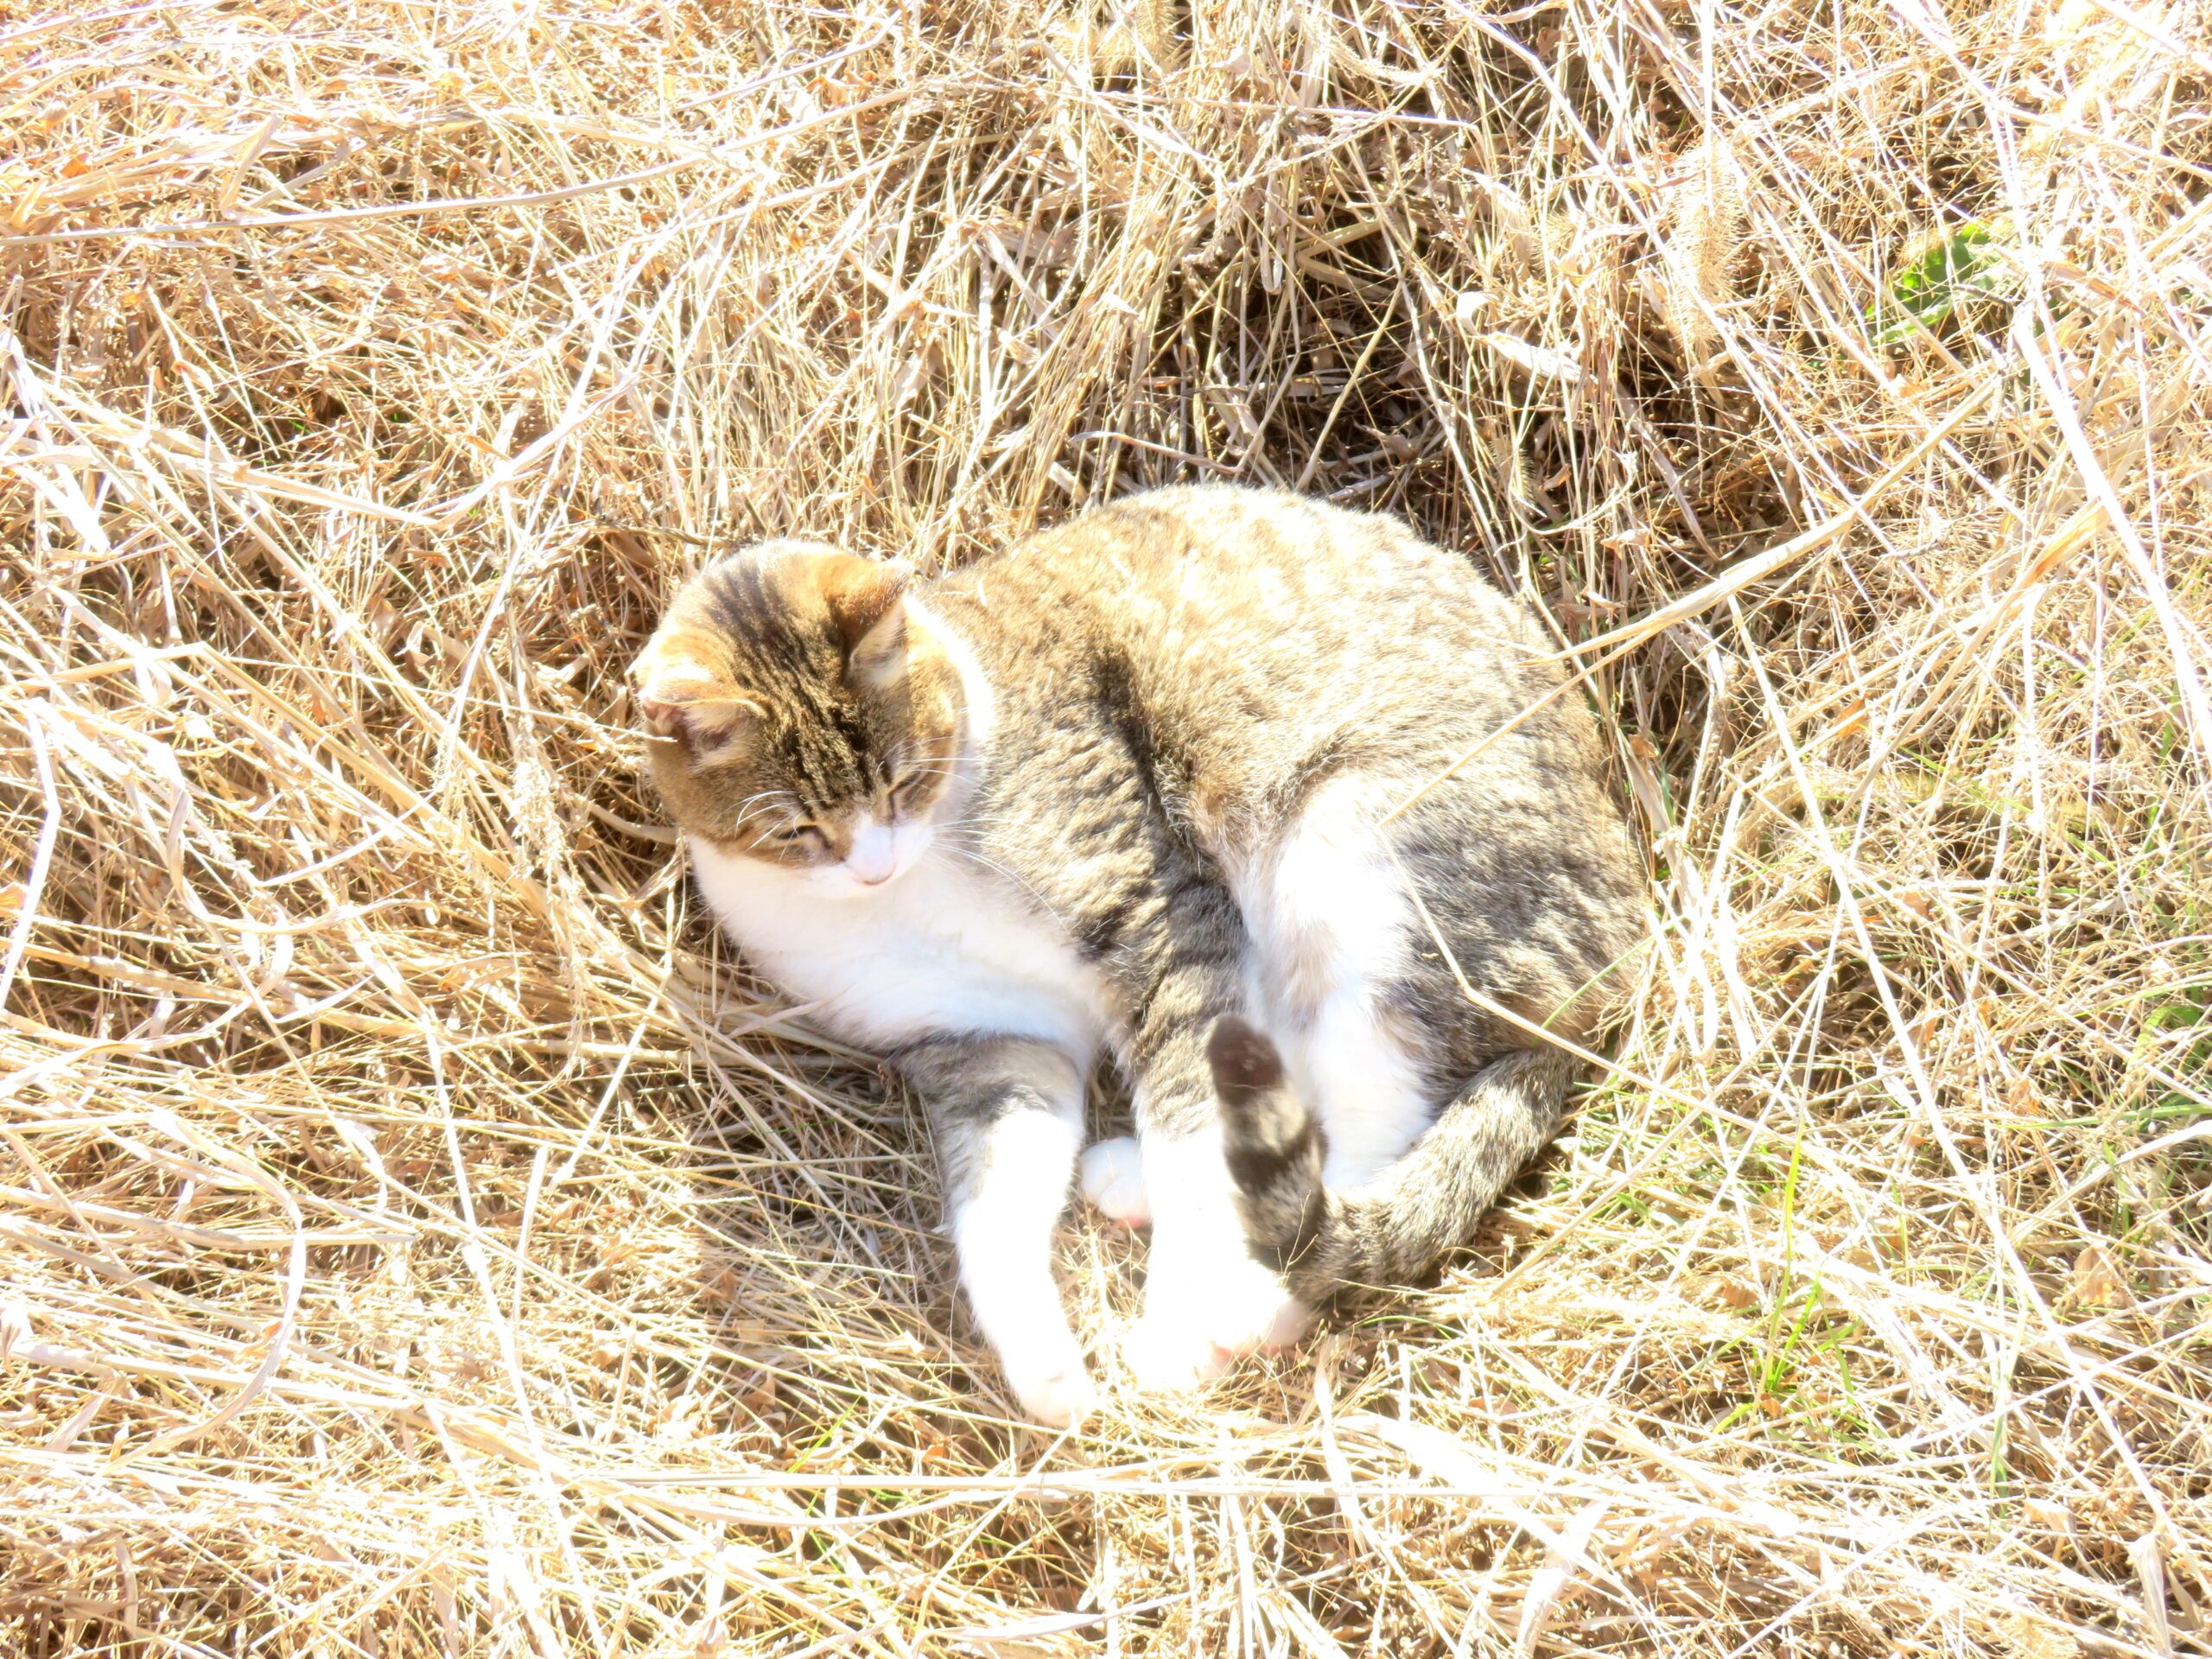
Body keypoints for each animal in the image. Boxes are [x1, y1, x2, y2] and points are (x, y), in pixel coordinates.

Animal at [623, 484, 1645, 1433]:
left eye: (904, 780)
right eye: (798, 832)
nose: (873, 863)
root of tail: (1629, 933)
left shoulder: (1161, 919)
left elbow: (1191, 1133)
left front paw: (1174, 1326)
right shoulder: (990, 1043)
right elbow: (994, 1204)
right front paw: (1042, 1362)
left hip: (1357, 851)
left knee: (1366, 1122)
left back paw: (1258, 1298)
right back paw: (1136, 1183)